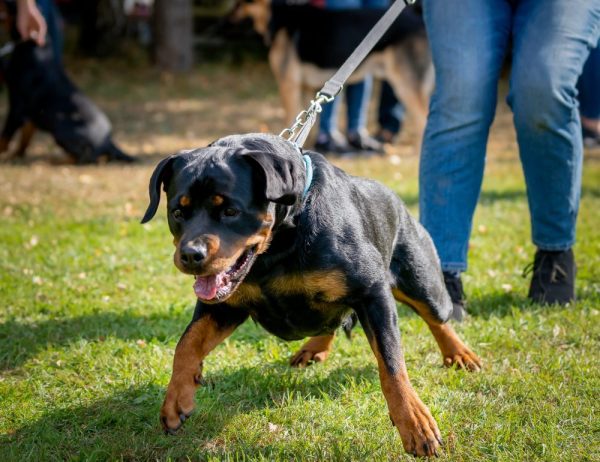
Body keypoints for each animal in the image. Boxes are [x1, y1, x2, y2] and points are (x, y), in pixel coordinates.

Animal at [0, 39, 134, 164]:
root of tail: (108, 141)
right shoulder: (31, 116)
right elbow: (24, 138)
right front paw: (16, 155)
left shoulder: (17, 110)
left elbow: (4, 138)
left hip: (60, 127)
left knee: (86, 158)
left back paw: (55, 161)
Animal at [142, 132, 482, 456]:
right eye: (177, 212)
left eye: (230, 210)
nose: (190, 255)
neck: (277, 246)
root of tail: (398, 202)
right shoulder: (224, 306)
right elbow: (187, 343)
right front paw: (176, 398)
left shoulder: (371, 292)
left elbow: (392, 364)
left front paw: (414, 422)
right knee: (331, 319)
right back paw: (314, 347)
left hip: (420, 279)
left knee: (437, 316)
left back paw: (459, 354)